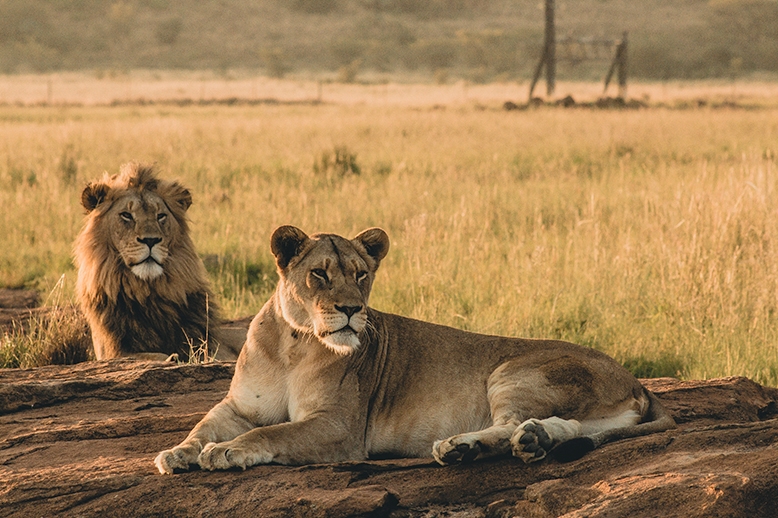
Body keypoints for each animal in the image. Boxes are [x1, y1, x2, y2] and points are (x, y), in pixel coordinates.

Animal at [76, 165, 239, 364]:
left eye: (160, 216)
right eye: (126, 215)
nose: (151, 240)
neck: (148, 292)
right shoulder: (113, 351)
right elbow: (148, 355)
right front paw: (171, 358)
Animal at [153, 228, 672, 476]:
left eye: (361, 274)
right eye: (319, 274)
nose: (352, 309)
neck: (292, 343)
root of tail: (637, 381)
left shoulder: (340, 428)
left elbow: (271, 434)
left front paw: (227, 452)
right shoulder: (239, 406)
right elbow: (202, 426)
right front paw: (176, 453)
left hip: (513, 370)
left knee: (509, 423)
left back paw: (460, 447)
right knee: (565, 427)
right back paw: (530, 441)